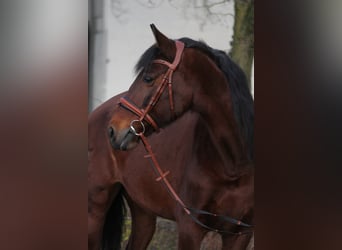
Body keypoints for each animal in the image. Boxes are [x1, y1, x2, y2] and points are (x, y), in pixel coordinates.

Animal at [105, 24, 255, 249]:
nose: (113, 129)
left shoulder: (239, 234)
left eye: (148, 78)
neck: (234, 165)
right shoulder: (189, 228)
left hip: (143, 214)